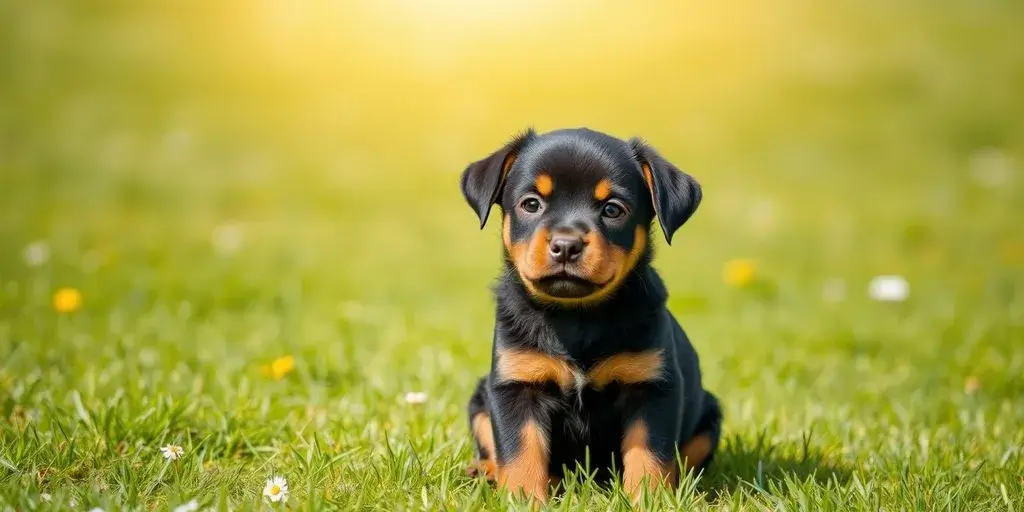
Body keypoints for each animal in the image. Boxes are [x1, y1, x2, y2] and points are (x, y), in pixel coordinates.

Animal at [462, 126, 720, 503]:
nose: (566, 245)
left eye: (613, 209)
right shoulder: (516, 385)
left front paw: (646, 499)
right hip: (480, 400)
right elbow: (520, 453)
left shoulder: (653, 387)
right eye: (531, 204)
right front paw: (525, 500)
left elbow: (649, 456)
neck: (577, 317)